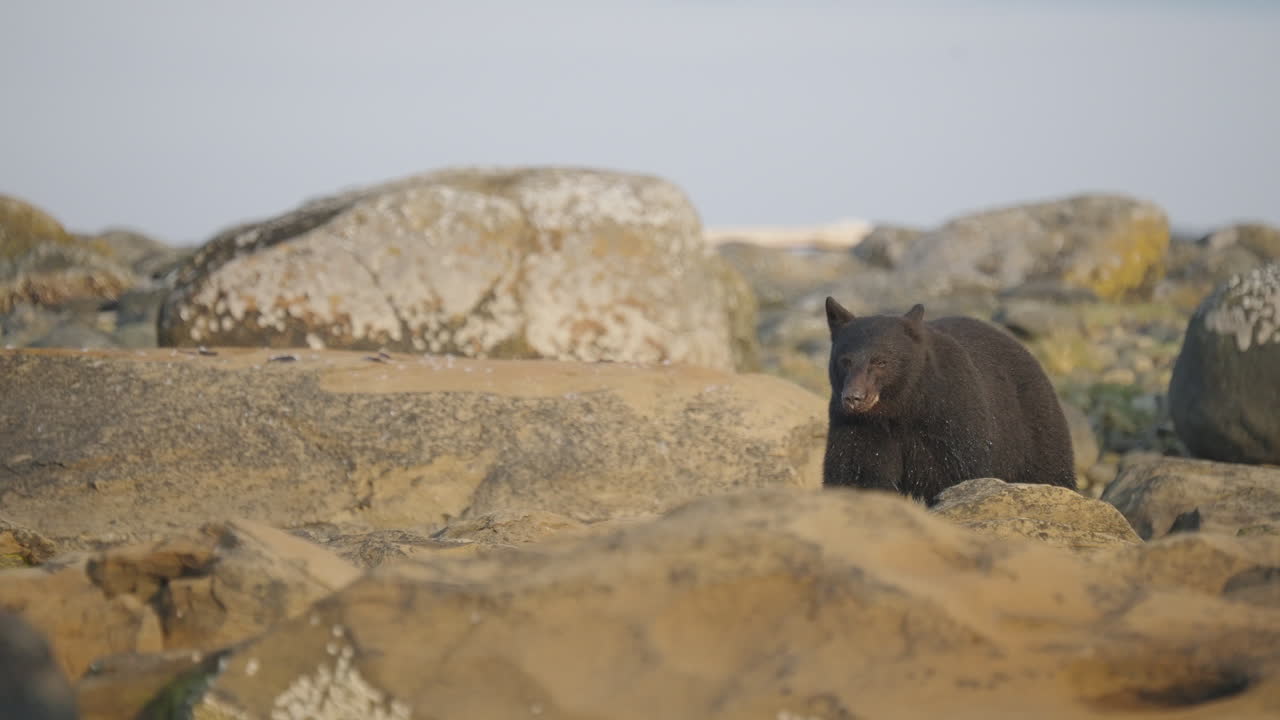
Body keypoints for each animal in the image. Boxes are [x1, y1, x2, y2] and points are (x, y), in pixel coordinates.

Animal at [822, 297, 1076, 504]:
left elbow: (958, 472)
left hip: (1034, 428)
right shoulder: (859, 428)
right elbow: (856, 473)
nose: (854, 397)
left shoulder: (949, 418)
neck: (902, 409)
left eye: (880, 361)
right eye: (845, 361)